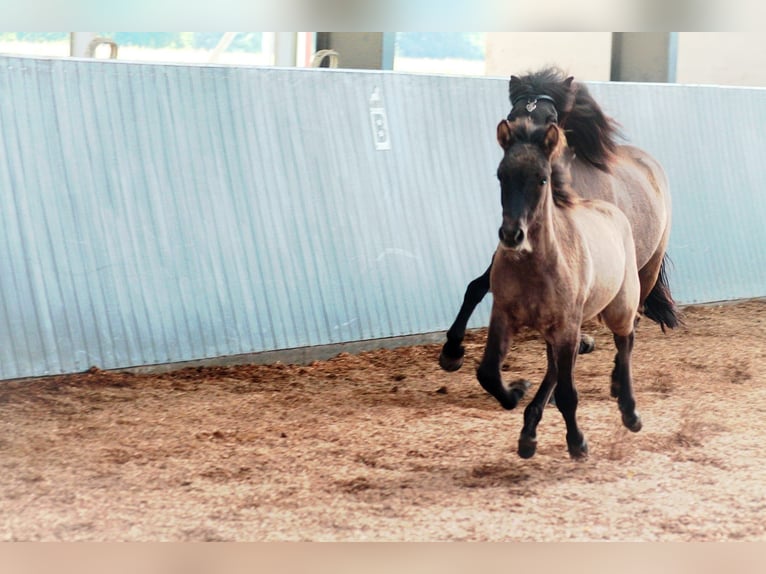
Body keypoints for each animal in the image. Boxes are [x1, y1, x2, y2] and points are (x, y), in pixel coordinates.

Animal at [439, 68, 680, 373]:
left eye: (551, 119)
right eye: (512, 116)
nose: (524, 153)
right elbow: (477, 286)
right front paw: (451, 351)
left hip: (646, 268)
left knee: (631, 317)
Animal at [478, 118, 642, 459]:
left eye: (542, 179)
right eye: (501, 175)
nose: (511, 235)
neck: (534, 266)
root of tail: (614, 211)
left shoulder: (567, 325)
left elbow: (568, 393)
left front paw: (577, 443)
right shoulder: (503, 316)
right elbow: (487, 372)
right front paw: (515, 392)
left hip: (617, 308)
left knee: (626, 341)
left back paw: (630, 411)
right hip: (554, 329)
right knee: (554, 368)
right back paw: (528, 432)